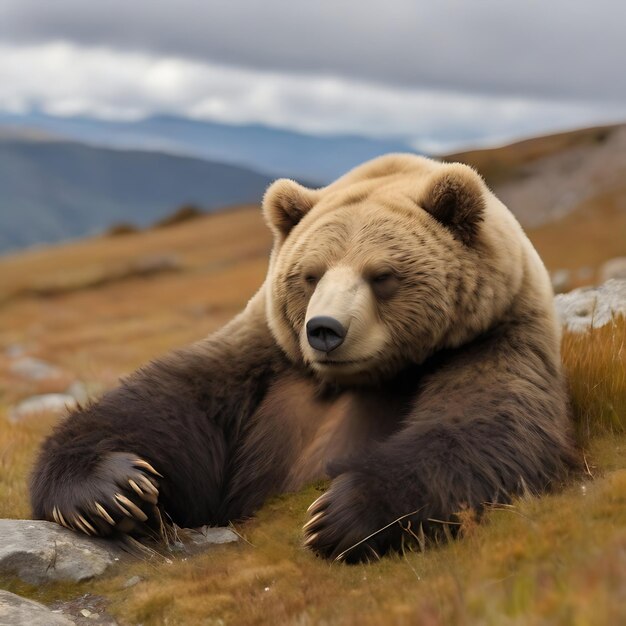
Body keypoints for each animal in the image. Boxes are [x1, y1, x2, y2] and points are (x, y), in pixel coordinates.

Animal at [29, 155, 576, 560]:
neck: (361, 378)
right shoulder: (263, 355)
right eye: (312, 274)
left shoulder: (490, 340)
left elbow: (484, 430)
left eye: (382, 275)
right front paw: (112, 489)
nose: (324, 330)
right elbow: (160, 407)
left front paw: (338, 515)